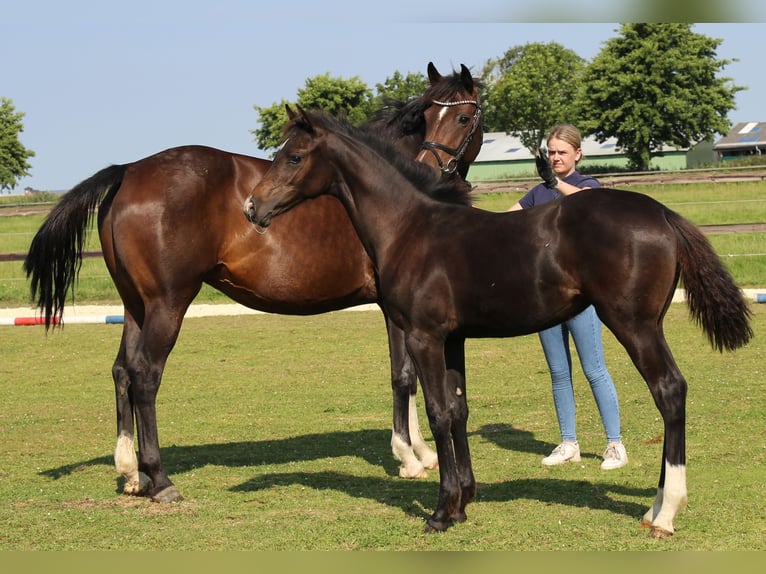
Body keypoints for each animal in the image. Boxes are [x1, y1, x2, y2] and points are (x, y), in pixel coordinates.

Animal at [23, 62, 483, 504]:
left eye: (462, 117)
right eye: (428, 116)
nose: (428, 171)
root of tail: (129, 171)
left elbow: (410, 375)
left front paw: (419, 452)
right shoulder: (393, 308)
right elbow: (404, 375)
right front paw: (410, 456)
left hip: (135, 307)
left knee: (122, 371)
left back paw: (131, 472)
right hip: (167, 305)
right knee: (145, 375)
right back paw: (160, 479)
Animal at [243, 106, 753, 538]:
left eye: (294, 156)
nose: (252, 208)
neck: (410, 228)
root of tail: (662, 213)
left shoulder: (424, 338)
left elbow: (438, 412)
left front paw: (441, 511)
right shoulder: (453, 340)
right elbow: (459, 410)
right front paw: (464, 501)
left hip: (635, 325)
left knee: (669, 390)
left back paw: (665, 513)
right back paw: (653, 507)